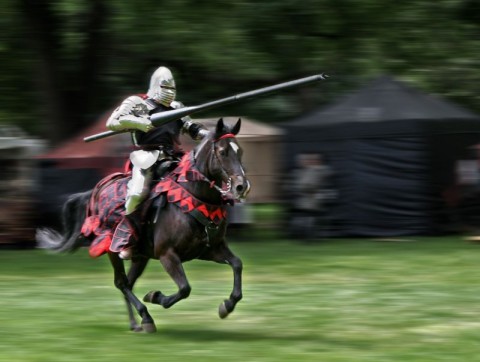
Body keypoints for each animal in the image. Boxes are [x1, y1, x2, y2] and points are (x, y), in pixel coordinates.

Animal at [36, 117, 251, 332]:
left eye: (240, 150)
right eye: (222, 152)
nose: (242, 186)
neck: (194, 198)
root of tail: (96, 191)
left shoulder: (209, 250)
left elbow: (237, 264)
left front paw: (227, 305)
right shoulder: (167, 255)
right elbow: (184, 289)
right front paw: (155, 296)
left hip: (141, 257)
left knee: (128, 283)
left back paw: (135, 323)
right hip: (112, 249)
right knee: (121, 283)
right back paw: (145, 317)